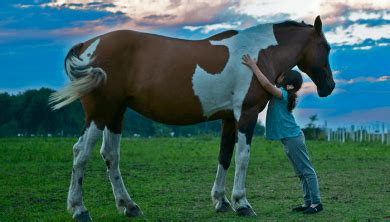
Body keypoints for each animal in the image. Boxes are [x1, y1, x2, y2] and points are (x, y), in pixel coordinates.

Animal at [49, 15, 336, 220]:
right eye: (326, 47)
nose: (329, 87)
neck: (259, 53)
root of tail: (88, 46)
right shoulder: (246, 114)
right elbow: (243, 158)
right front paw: (242, 203)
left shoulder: (229, 118)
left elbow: (225, 156)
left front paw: (221, 201)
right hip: (100, 112)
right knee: (81, 152)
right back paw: (79, 209)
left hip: (115, 113)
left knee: (110, 155)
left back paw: (129, 206)